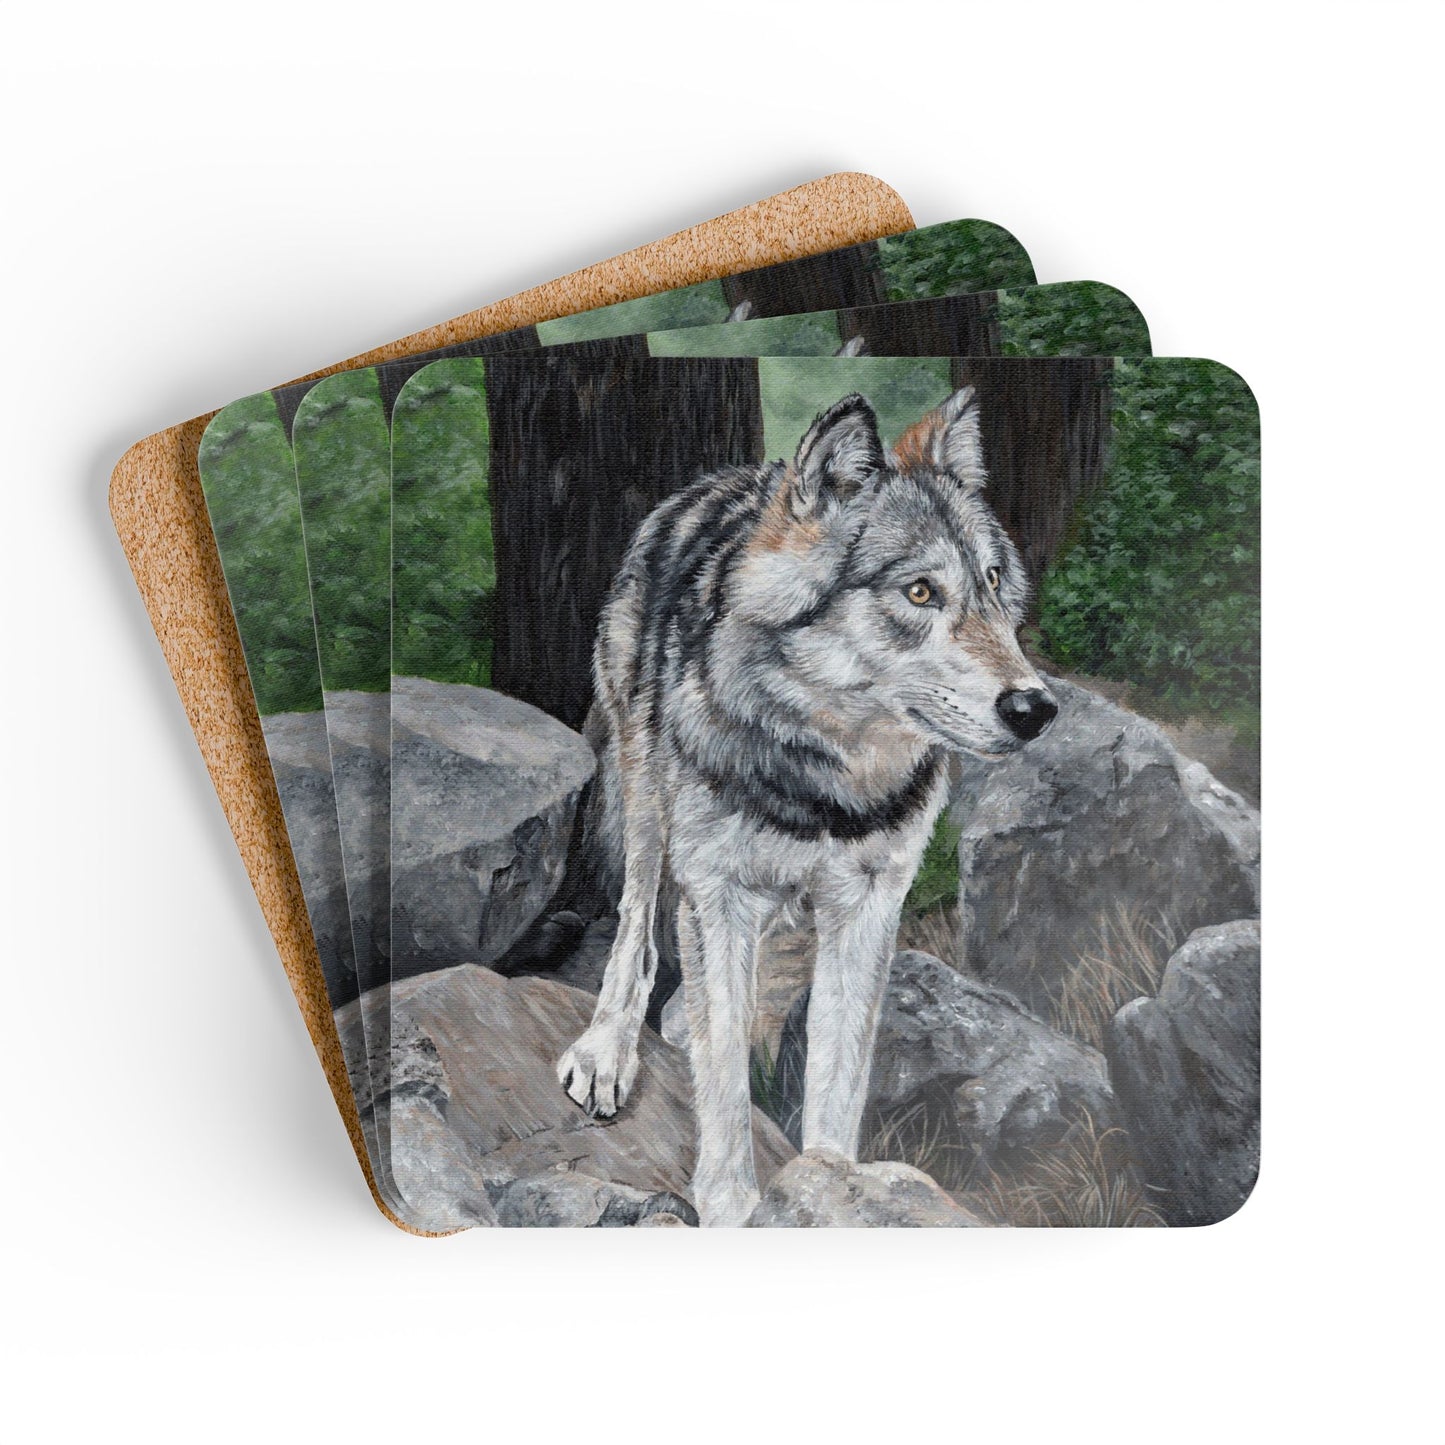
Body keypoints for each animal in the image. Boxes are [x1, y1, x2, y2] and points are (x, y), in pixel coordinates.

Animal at [557, 386, 1058, 1226]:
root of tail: (724, 478)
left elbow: (835, 1078)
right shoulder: (719, 889)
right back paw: (609, 1047)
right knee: (637, 926)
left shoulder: (868, 906)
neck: (826, 783)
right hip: (645, 795)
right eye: (919, 592)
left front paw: (833, 1186)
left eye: (993, 583)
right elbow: (725, 1081)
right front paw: (732, 1206)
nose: (1036, 708)